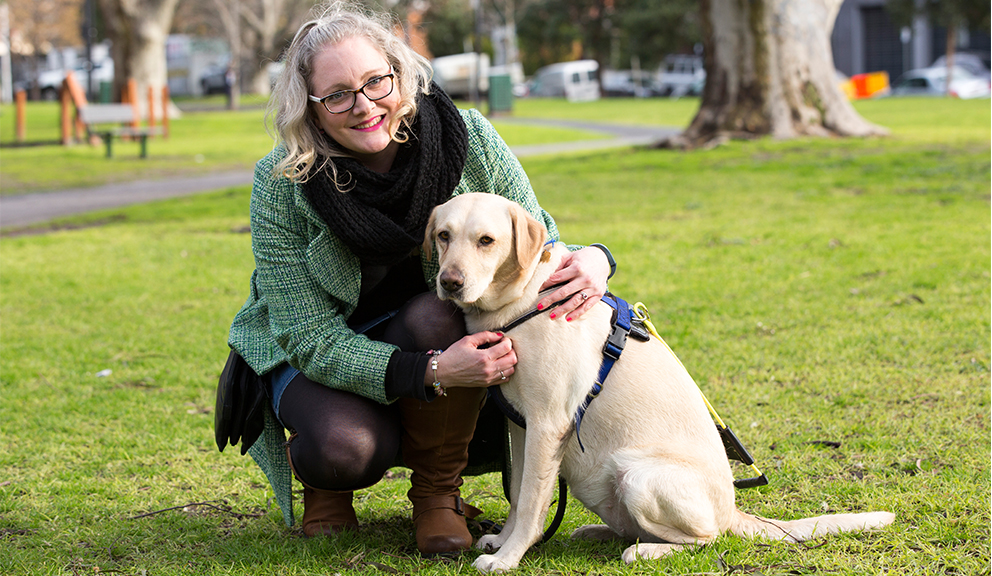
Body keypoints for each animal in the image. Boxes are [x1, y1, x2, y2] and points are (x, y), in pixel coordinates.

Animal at [422, 194, 896, 572]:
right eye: (444, 235)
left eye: (487, 241)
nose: (450, 282)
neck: (523, 301)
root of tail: (733, 511)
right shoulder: (521, 426)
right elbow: (521, 496)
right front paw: (503, 542)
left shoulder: (547, 424)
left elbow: (533, 502)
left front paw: (508, 558)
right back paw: (597, 532)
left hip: (637, 475)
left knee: (704, 540)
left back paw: (644, 551)